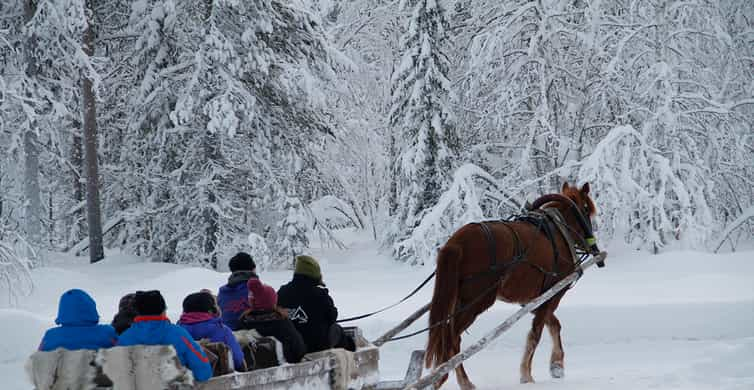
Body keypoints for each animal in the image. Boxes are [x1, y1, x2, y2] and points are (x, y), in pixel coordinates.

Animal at [424, 181, 600, 388]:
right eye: (586, 209)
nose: (591, 245)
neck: (559, 231)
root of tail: (457, 242)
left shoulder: (534, 300)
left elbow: (554, 325)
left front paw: (556, 365)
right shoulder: (552, 294)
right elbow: (535, 334)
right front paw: (527, 375)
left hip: (457, 299)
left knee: (447, 336)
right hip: (476, 301)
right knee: (452, 339)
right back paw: (459, 381)